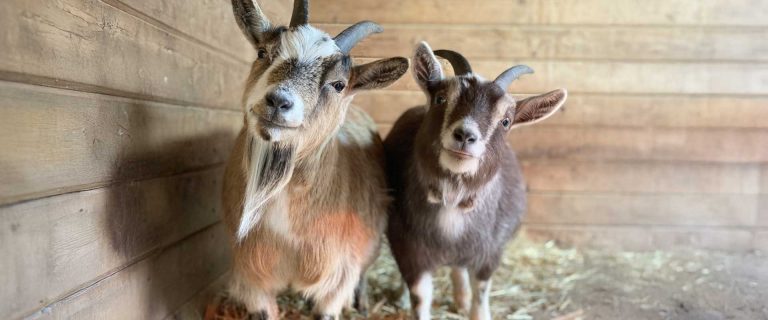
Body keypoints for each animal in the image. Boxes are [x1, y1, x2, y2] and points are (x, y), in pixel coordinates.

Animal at [388, 42, 568, 320]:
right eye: (441, 98)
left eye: (506, 121)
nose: (465, 135)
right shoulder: (408, 248)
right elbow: (420, 296)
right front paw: (410, 300)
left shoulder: (491, 252)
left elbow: (481, 291)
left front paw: (472, 307)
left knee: (458, 267)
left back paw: (461, 299)